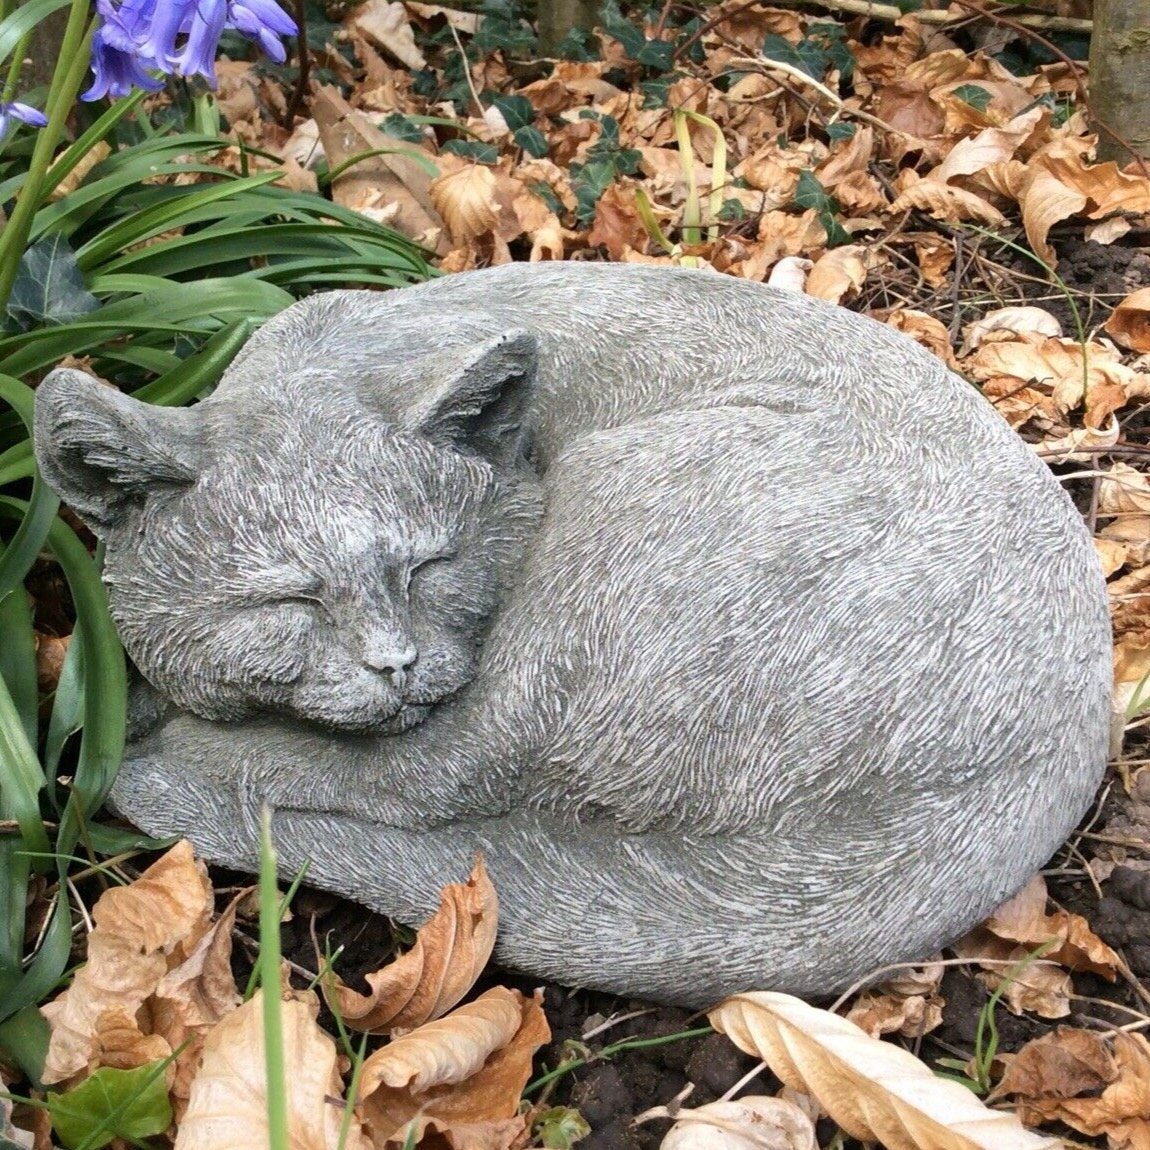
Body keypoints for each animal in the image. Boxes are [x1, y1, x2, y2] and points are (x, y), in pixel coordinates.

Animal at [33, 263, 1113, 1007]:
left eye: (429, 567)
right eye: (291, 602)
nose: (395, 662)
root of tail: (1045, 757)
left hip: (610, 532)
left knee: (431, 777)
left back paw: (164, 755)